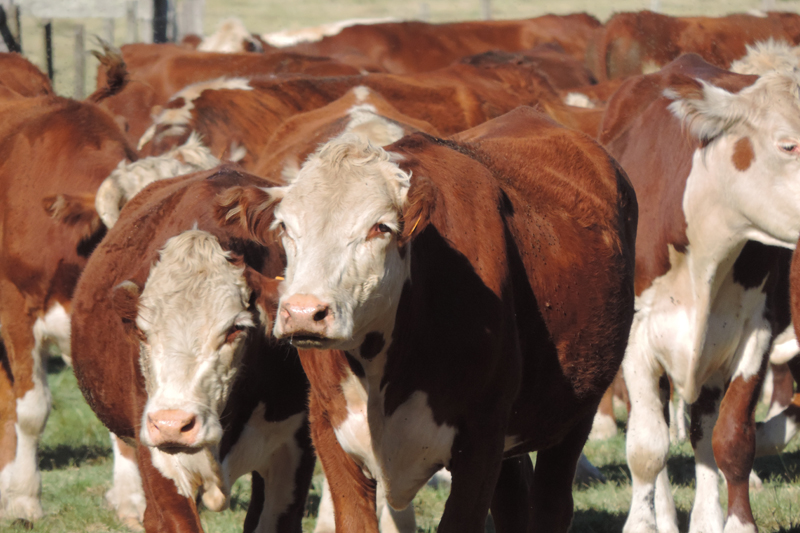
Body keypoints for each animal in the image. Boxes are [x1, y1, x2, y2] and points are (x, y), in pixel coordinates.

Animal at [214, 106, 636, 528]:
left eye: (381, 227)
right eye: (285, 227)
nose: (303, 312)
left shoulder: (480, 443)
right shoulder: (329, 433)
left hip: (574, 413)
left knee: (551, 502)